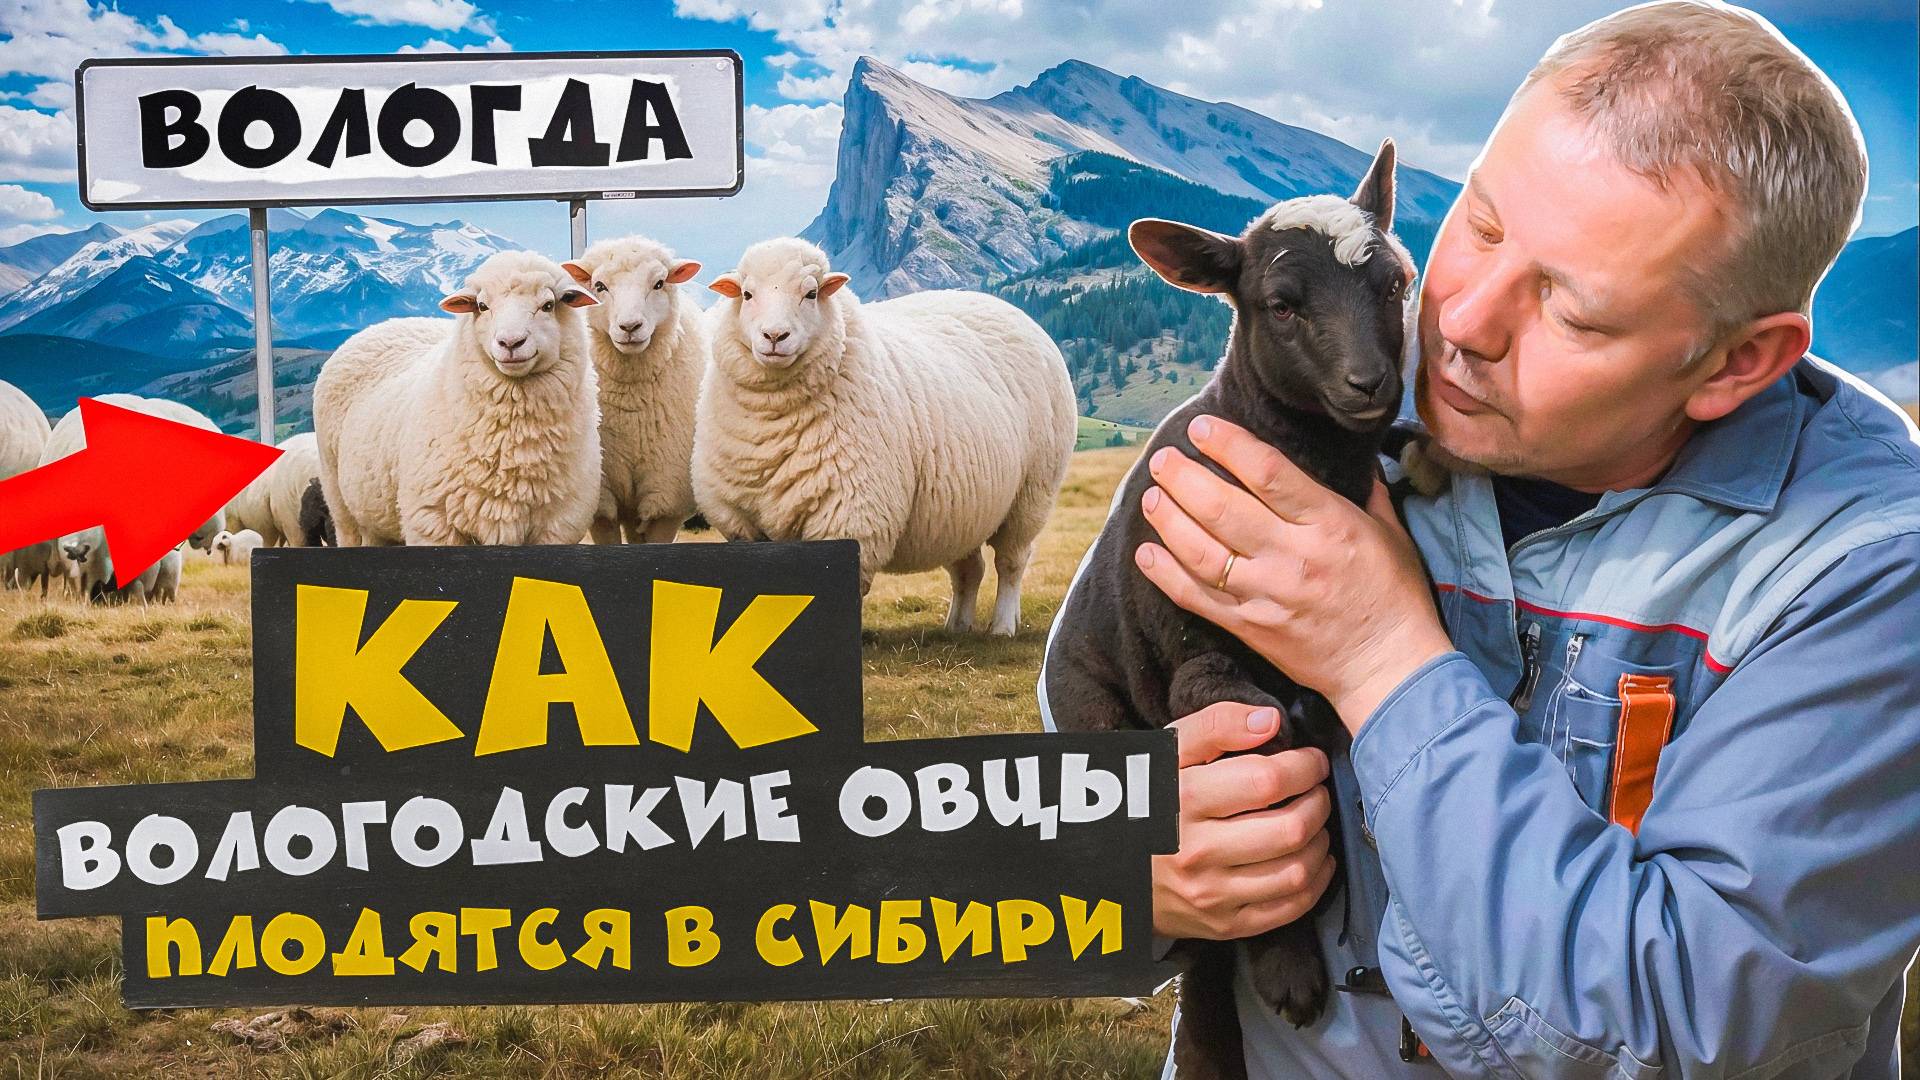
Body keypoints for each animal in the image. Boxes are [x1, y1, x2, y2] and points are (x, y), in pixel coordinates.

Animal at [314, 251, 603, 547]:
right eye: (482, 306)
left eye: (548, 305)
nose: (510, 342)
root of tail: (388, 323)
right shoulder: (432, 525)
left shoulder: (558, 528)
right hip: (336, 492)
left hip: (375, 515)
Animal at [696, 237, 1076, 635]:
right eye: (747, 294)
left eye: (811, 293)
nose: (774, 337)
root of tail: (1004, 306)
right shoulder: (740, 522)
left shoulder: (851, 517)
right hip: (962, 507)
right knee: (970, 569)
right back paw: (957, 627)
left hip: (1032, 493)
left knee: (1011, 562)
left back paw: (1002, 625)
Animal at [1040, 143, 1412, 1076]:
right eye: (1280, 305)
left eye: (1394, 283)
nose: (1372, 384)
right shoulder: (1199, 669)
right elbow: (1268, 753)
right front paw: (1288, 966)